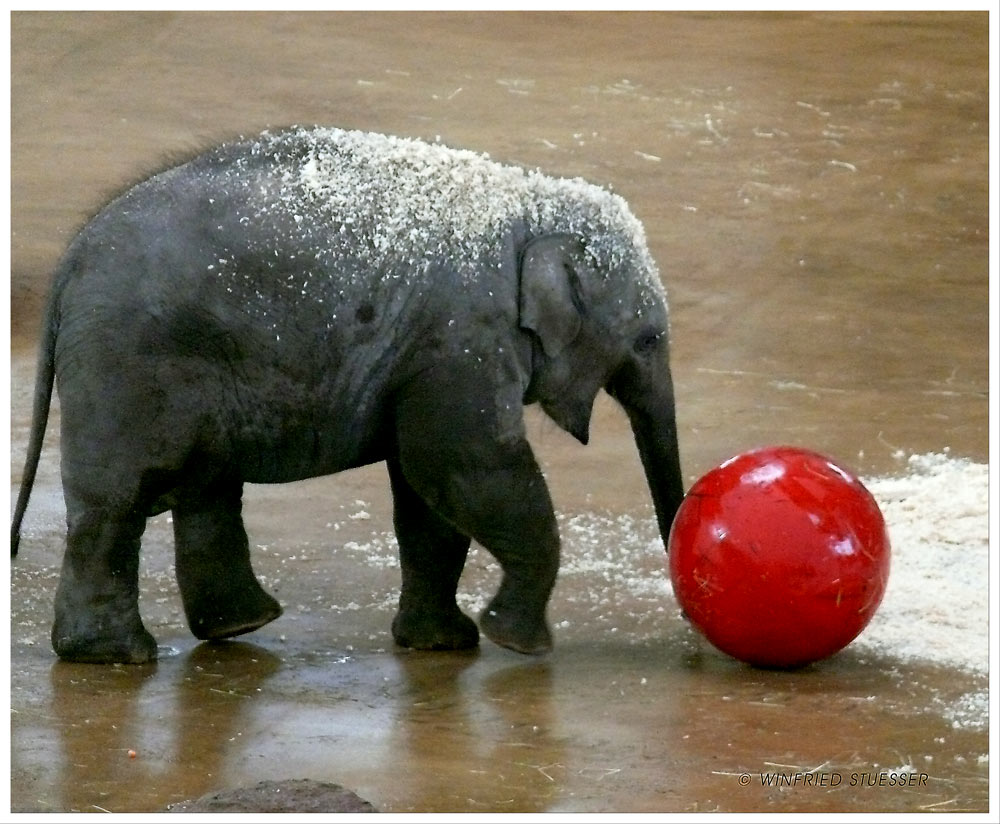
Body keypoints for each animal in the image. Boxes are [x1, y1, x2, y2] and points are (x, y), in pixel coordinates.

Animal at [7, 125, 684, 664]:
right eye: (649, 339)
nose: (687, 626)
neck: (534, 203)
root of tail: (67, 266)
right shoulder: (461, 339)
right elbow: (465, 466)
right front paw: (519, 644)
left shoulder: (425, 355)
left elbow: (427, 494)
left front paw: (445, 644)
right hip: (130, 366)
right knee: (117, 504)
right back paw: (117, 657)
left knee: (204, 489)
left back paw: (237, 627)